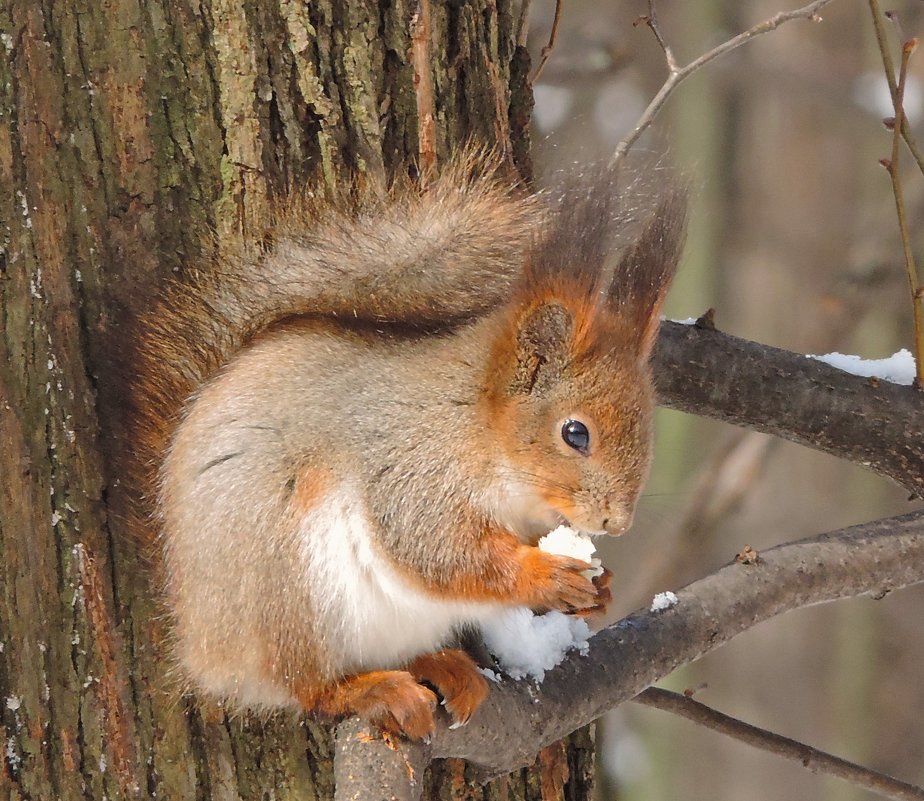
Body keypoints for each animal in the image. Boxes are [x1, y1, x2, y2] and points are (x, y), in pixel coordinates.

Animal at [132, 153, 684, 740]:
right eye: (575, 433)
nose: (615, 523)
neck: (481, 428)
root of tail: (199, 643)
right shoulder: (412, 467)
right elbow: (439, 550)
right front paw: (544, 575)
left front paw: (602, 589)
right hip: (288, 593)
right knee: (307, 687)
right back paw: (371, 690)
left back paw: (442, 667)